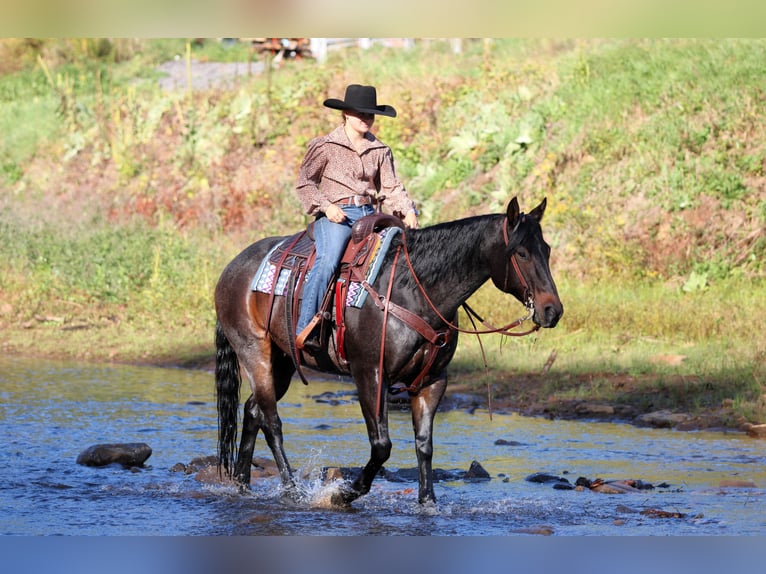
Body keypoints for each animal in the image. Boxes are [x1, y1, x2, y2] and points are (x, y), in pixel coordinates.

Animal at [214, 196, 563, 506]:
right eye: (521, 253)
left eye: (545, 250)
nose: (552, 311)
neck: (414, 289)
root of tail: (231, 268)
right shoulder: (370, 374)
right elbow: (382, 446)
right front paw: (343, 494)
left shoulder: (433, 382)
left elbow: (424, 445)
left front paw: (428, 502)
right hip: (254, 352)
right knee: (272, 420)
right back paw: (291, 490)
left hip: (283, 362)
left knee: (253, 411)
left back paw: (243, 484)